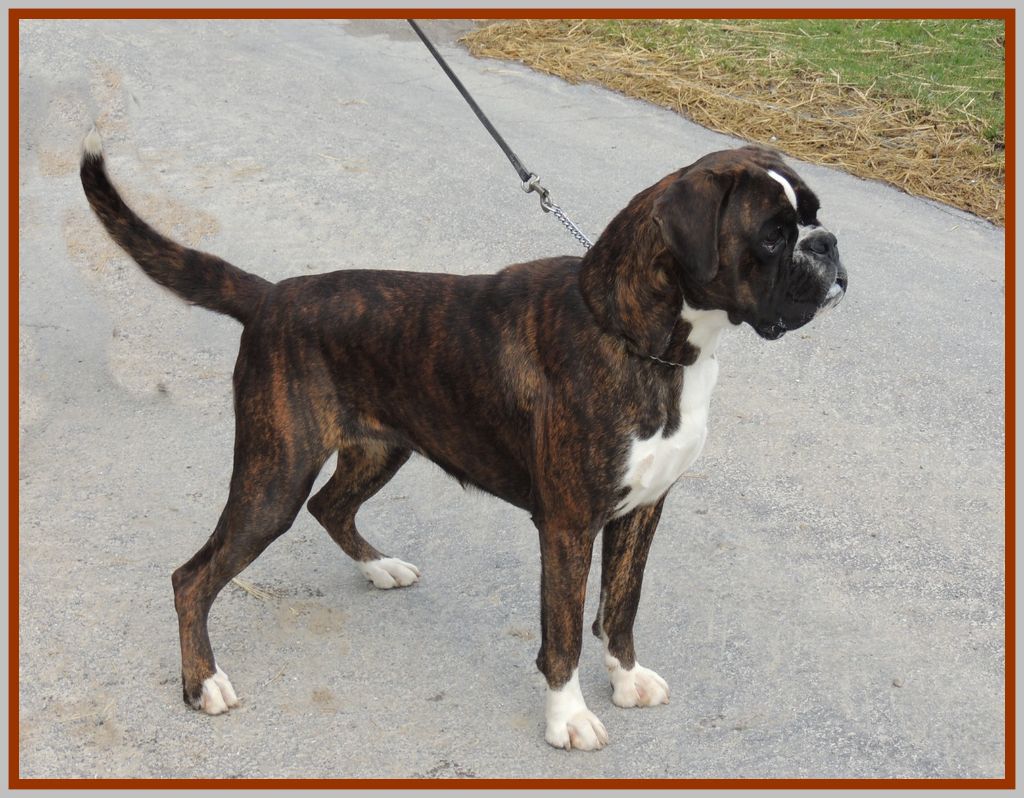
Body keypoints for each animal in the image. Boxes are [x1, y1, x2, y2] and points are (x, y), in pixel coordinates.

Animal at [79, 128, 843, 753]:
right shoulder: (569, 527)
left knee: (331, 508)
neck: (640, 339)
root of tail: (271, 298)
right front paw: (568, 718)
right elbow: (564, 631)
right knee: (193, 576)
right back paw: (203, 682)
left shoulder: (643, 511)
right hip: (275, 478)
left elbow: (620, 609)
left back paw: (379, 568)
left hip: (379, 449)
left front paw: (625, 679)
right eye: (772, 235)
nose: (828, 245)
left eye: (813, 214)